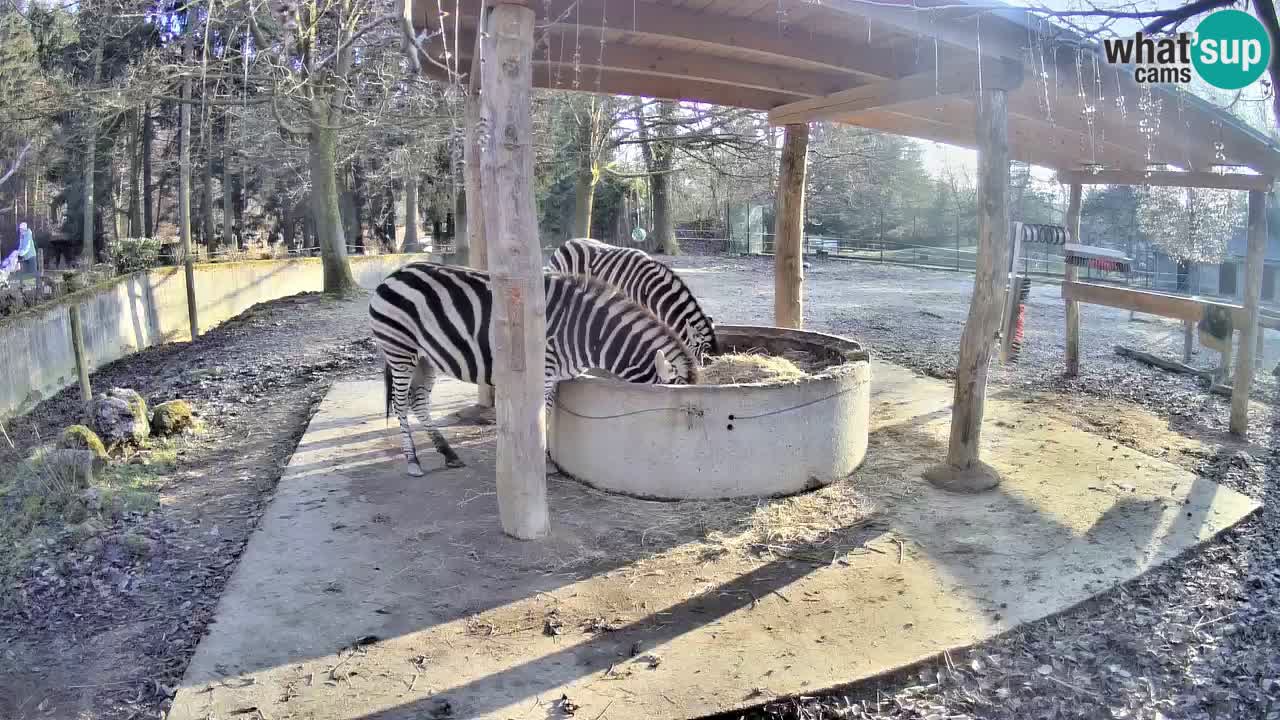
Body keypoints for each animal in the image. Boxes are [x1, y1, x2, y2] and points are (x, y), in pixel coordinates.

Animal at [368, 260, 701, 474]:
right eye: (668, 408)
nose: (676, 455)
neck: (588, 332)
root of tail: (392, 274)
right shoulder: (544, 371)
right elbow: (542, 414)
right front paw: (541, 462)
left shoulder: (557, 376)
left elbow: (550, 412)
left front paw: (550, 459)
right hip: (400, 350)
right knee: (400, 403)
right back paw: (413, 462)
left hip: (426, 358)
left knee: (418, 401)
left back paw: (448, 453)